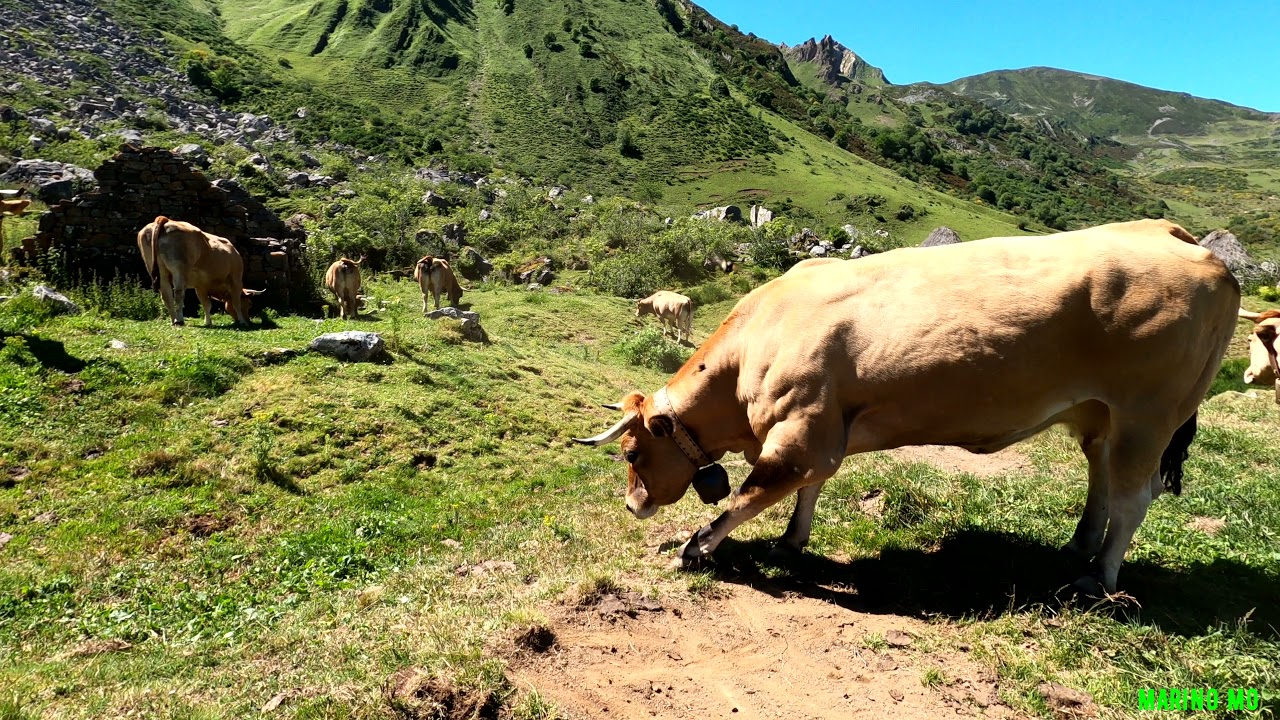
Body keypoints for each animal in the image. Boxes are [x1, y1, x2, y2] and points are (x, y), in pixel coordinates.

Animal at [136, 216, 264, 327]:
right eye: (249, 304)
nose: (249, 321)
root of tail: (167, 220)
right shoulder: (236, 279)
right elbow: (236, 302)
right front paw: (242, 321)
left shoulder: (200, 286)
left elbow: (206, 304)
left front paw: (208, 322)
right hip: (179, 269)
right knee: (178, 294)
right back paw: (180, 320)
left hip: (159, 270)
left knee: (166, 295)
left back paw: (174, 320)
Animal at [575, 219, 1240, 596]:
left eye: (632, 452)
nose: (631, 506)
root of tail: (1195, 248)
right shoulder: (824, 433)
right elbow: (808, 490)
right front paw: (791, 543)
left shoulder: (801, 430)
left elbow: (746, 497)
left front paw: (696, 548)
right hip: (1100, 414)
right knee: (1101, 480)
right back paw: (1078, 546)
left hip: (1147, 415)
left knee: (1132, 498)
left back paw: (1097, 577)